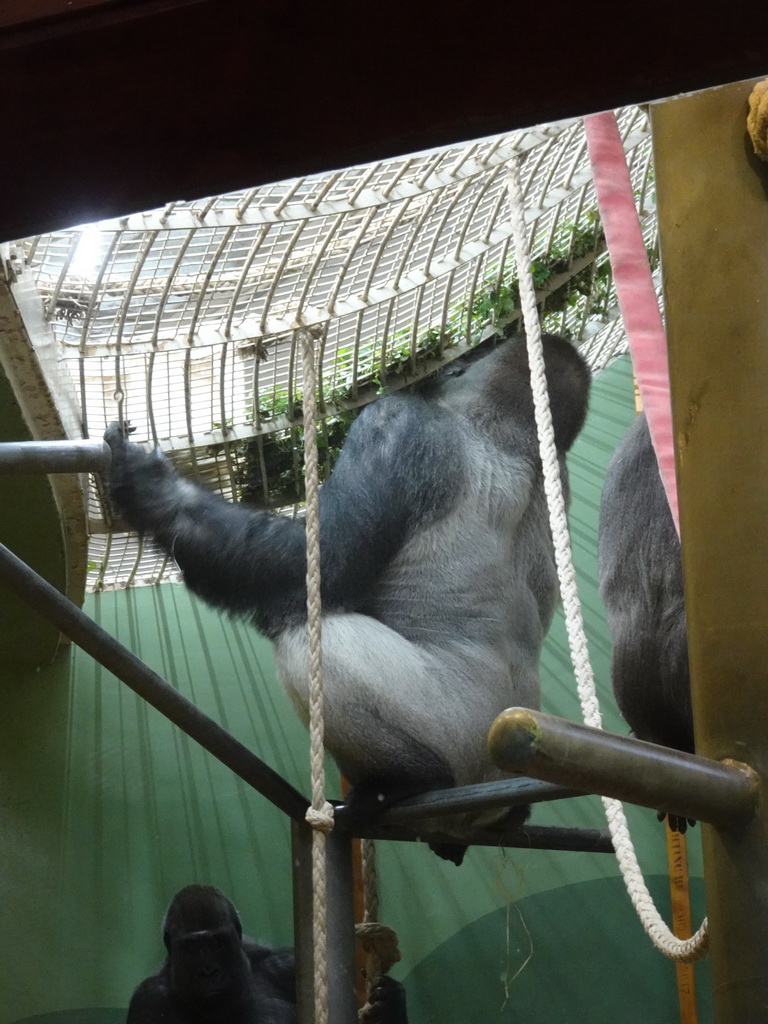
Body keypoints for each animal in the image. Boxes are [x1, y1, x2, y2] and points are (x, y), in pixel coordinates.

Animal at [107, 331, 589, 860]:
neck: (512, 435)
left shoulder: (394, 423)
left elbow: (317, 568)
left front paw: (156, 494)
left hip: (465, 742)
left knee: (308, 638)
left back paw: (402, 780)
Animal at [126, 884, 409, 1019]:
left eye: (218, 943)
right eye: (192, 947)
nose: (209, 972)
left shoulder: (288, 967)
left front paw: (390, 1005)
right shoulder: (148, 998)